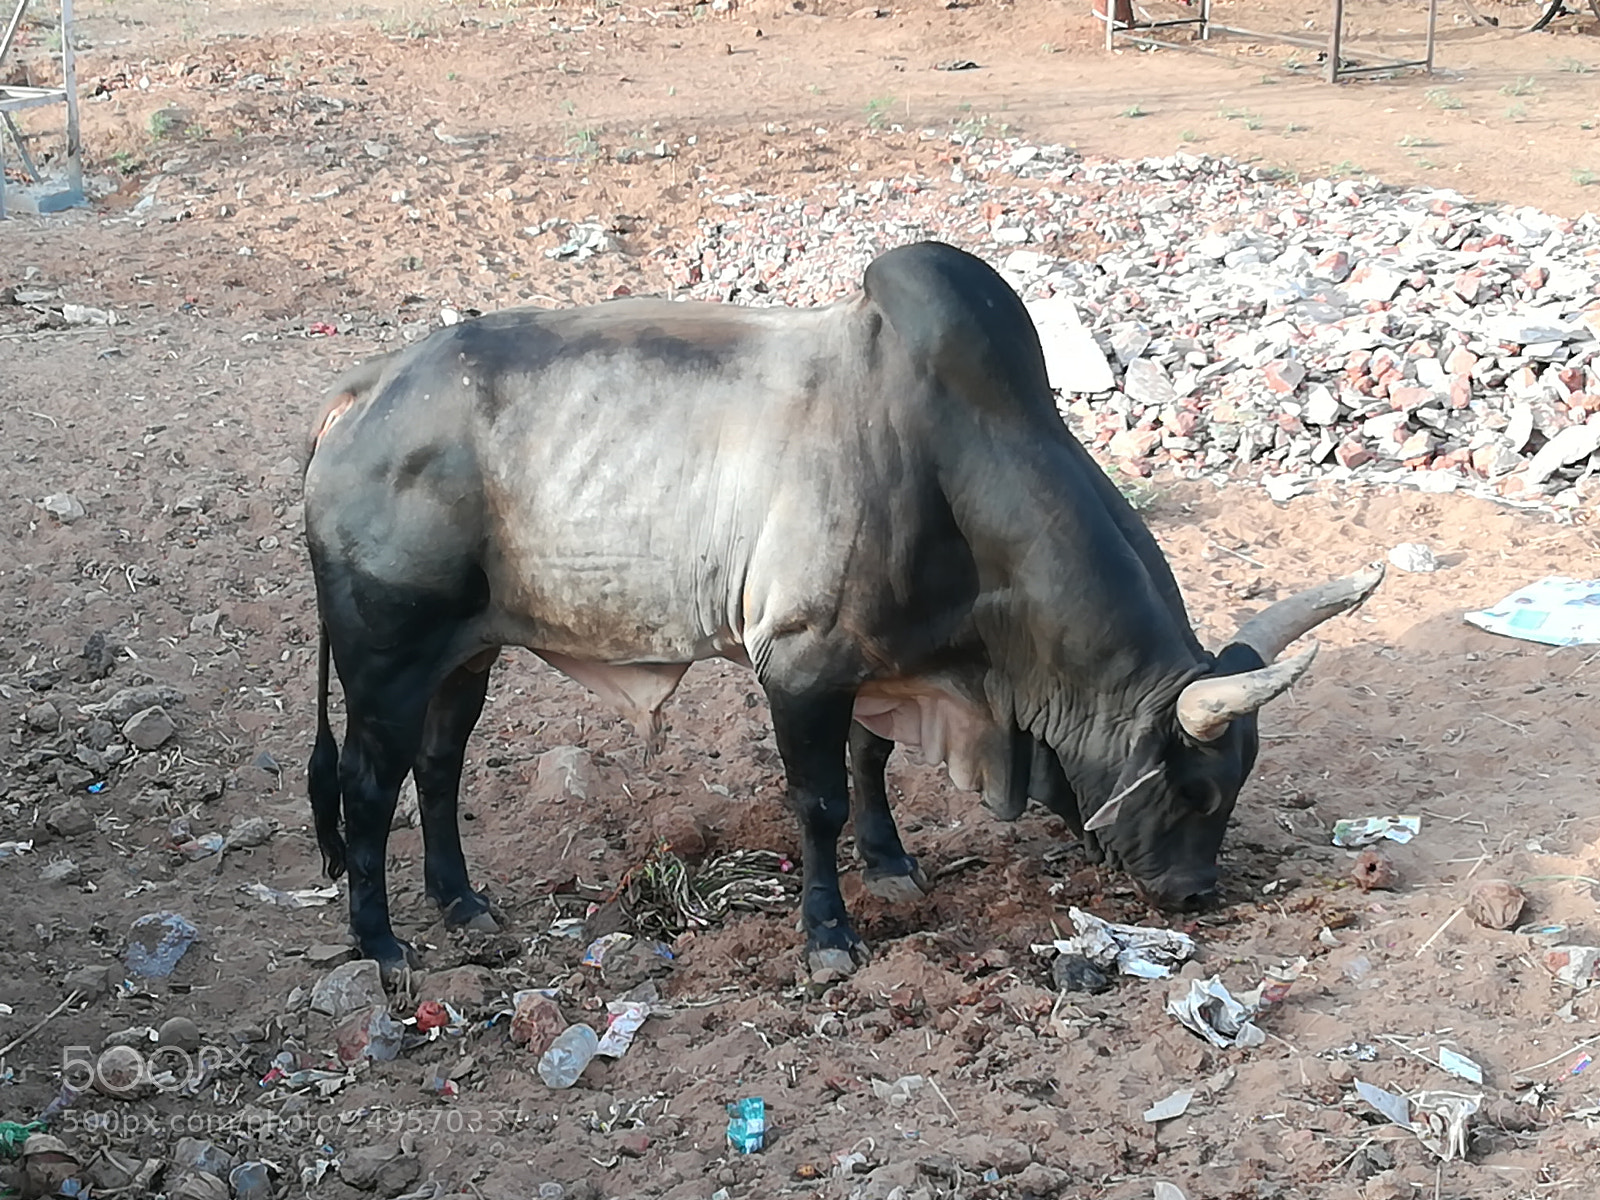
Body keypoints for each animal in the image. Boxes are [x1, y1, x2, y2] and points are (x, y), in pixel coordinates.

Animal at [302, 240, 1382, 978]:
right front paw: (829, 934)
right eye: (1195, 790)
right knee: (367, 784)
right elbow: (816, 799)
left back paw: (463, 903)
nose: (1194, 895)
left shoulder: (879, 664)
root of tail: (364, 389)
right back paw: (382, 944)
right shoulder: (800, 663)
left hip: (465, 652)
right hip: (385, 652)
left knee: (438, 769)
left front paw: (891, 863)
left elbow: (871, 764)